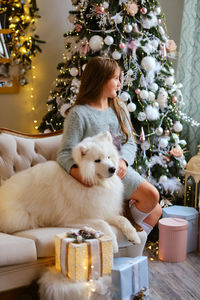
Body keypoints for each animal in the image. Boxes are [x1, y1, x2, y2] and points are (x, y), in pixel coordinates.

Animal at [0, 131, 141, 251]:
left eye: (108, 157)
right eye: (97, 160)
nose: (113, 169)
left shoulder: (102, 210)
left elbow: (123, 219)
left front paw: (134, 235)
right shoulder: (74, 218)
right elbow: (103, 224)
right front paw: (113, 244)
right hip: (21, 218)